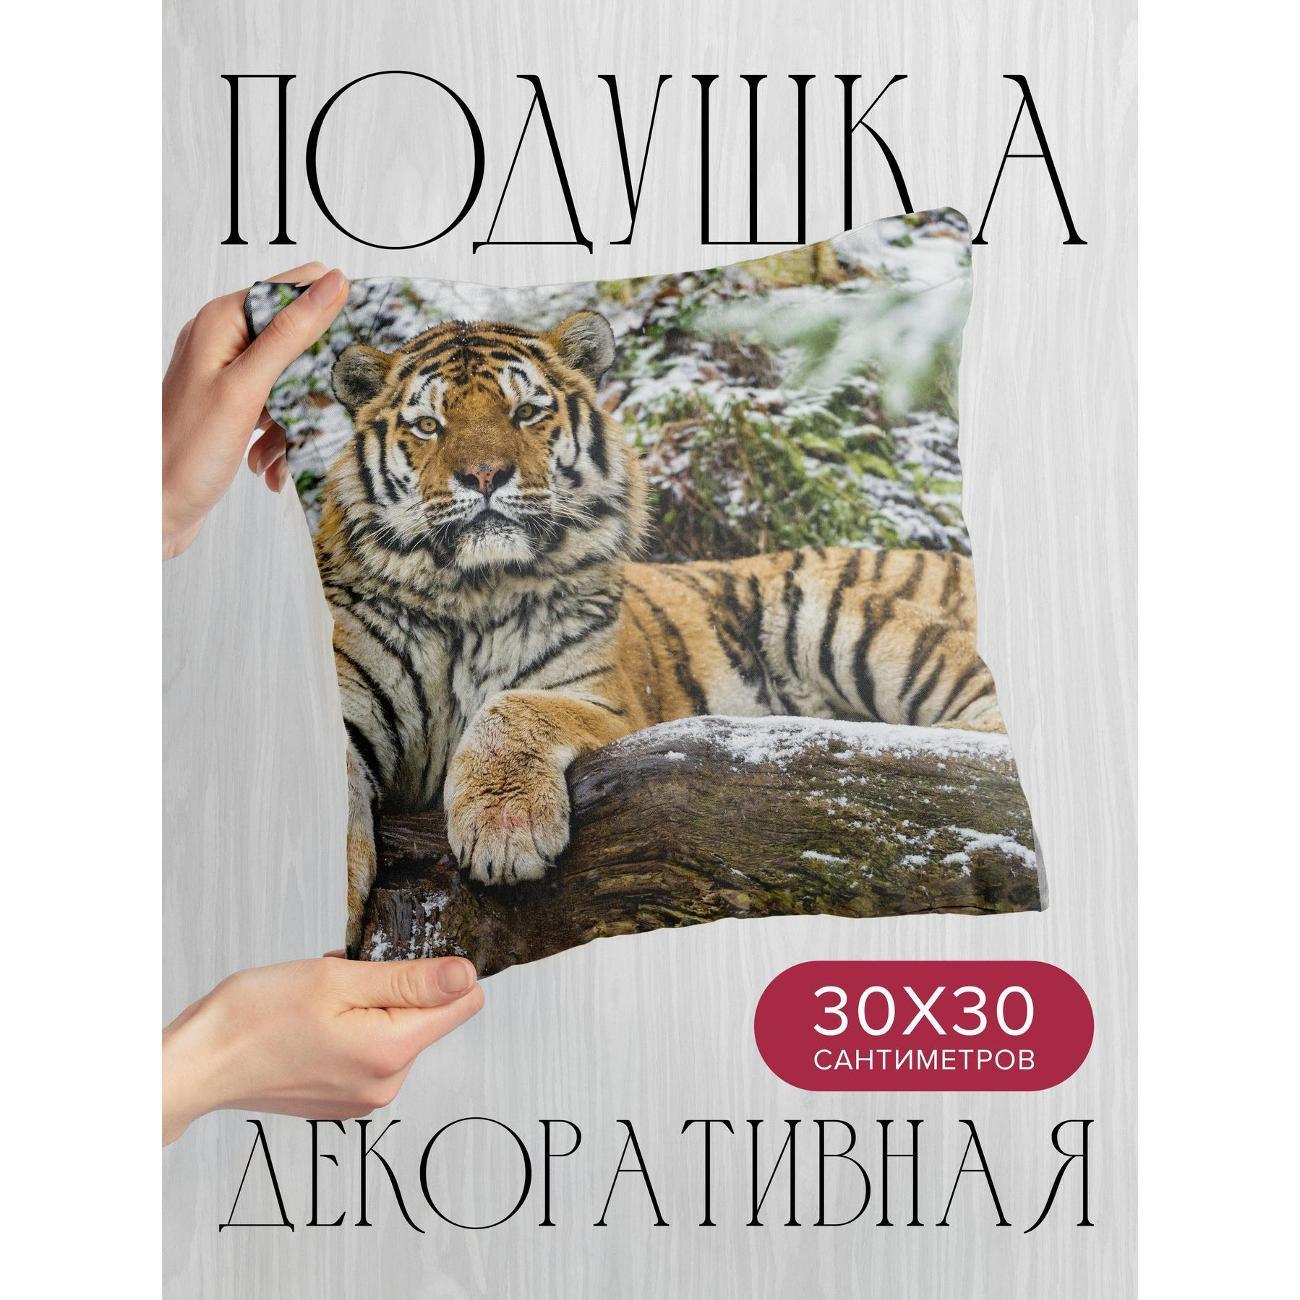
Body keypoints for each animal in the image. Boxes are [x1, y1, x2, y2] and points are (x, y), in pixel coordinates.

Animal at [315, 310, 1005, 954]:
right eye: (428, 425)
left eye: (528, 412)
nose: (485, 476)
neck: (471, 595)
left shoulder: (604, 700)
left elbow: (512, 709)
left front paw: (504, 831)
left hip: (841, 617)